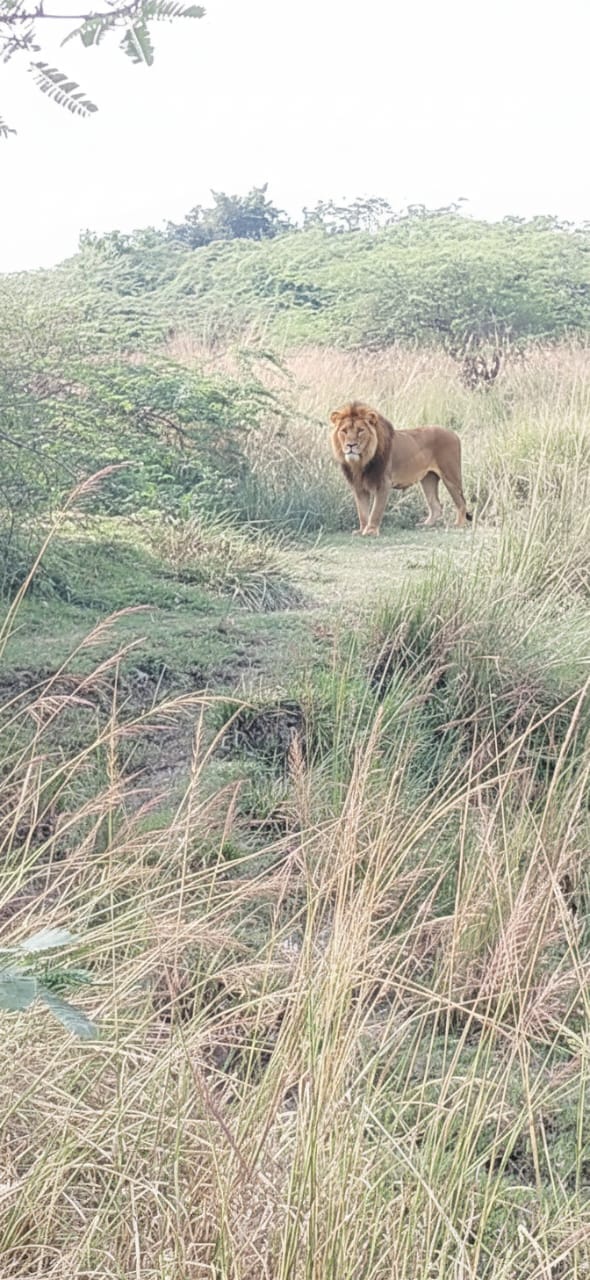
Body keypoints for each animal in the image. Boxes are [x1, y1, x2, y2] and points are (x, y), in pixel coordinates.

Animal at [330, 401, 472, 535]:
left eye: (360, 430)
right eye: (344, 431)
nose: (351, 445)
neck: (361, 462)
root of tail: (453, 433)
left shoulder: (384, 483)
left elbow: (376, 510)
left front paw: (371, 531)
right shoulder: (358, 486)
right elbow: (362, 512)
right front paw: (362, 530)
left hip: (451, 476)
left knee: (461, 503)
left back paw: (458, 524)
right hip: (428, 478)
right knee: (436, 506)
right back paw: (426, 525)